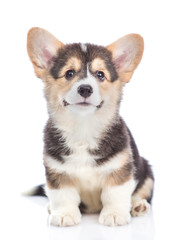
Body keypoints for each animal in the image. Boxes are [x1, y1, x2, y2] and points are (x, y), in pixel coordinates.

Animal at [27, 28, 154, 227]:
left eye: (100, 74)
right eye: (69, 73)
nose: (85, 89)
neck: (83, 128)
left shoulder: (119, 169)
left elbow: (114, 194)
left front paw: (114, 214)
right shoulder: (57, 171)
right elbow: (63, 195)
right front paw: (64, 214)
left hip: (147, 171)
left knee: (141, 192)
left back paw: (137, 205)